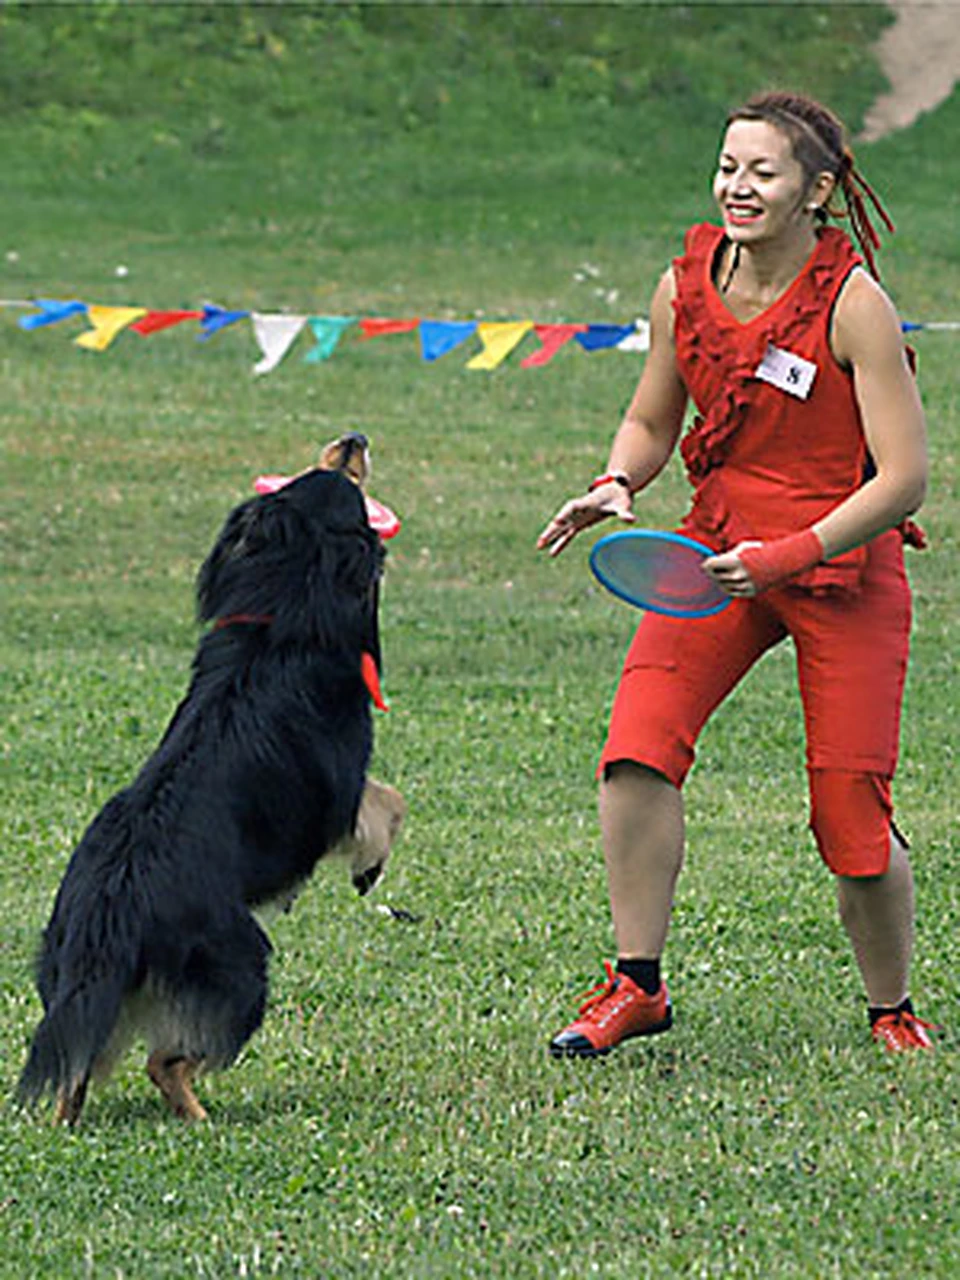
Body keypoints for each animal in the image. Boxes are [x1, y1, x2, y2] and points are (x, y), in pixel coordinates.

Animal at [18, 468, 401, 1121]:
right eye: (345, 487)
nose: (354, 445)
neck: (281, 621)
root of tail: (107, 915)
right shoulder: (339, 794)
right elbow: (389, 805)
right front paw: (368, 869)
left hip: (80, 982)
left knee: (79, 1066)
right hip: (240, 968)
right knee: (165, 1062)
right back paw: (200, 1119)